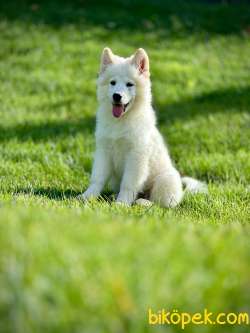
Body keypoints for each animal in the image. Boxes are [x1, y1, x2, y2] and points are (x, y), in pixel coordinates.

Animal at [78, 48, 207, 206]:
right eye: (112, 83)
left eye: (129, 84)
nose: (116, 96)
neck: (121, 121)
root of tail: (182, 192)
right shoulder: (104, 150)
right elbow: (97, 178)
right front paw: (87, 197)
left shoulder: (136, 155)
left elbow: (128, 184)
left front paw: (121, 204)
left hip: (164, 180)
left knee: (160, 203)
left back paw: (143, 202)